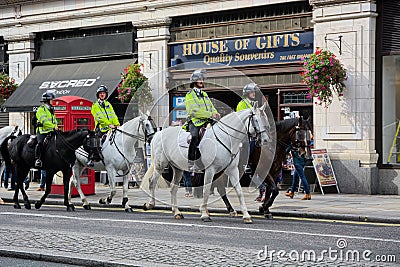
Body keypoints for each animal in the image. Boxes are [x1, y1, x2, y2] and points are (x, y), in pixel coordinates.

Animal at [142, 105, 270, 224]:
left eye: (266, 119)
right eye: (256, 120)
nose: (266, 140)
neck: (225, 138)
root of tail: (158, 134)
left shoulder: (232, 170)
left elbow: (239, 191)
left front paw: (246, 216)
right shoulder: (210, 170)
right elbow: (206, 190)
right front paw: (204, 214)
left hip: (178, 168)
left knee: (173, 188)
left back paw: (177, 212)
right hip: (160, 164)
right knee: (152, 181)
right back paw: (150, 204)